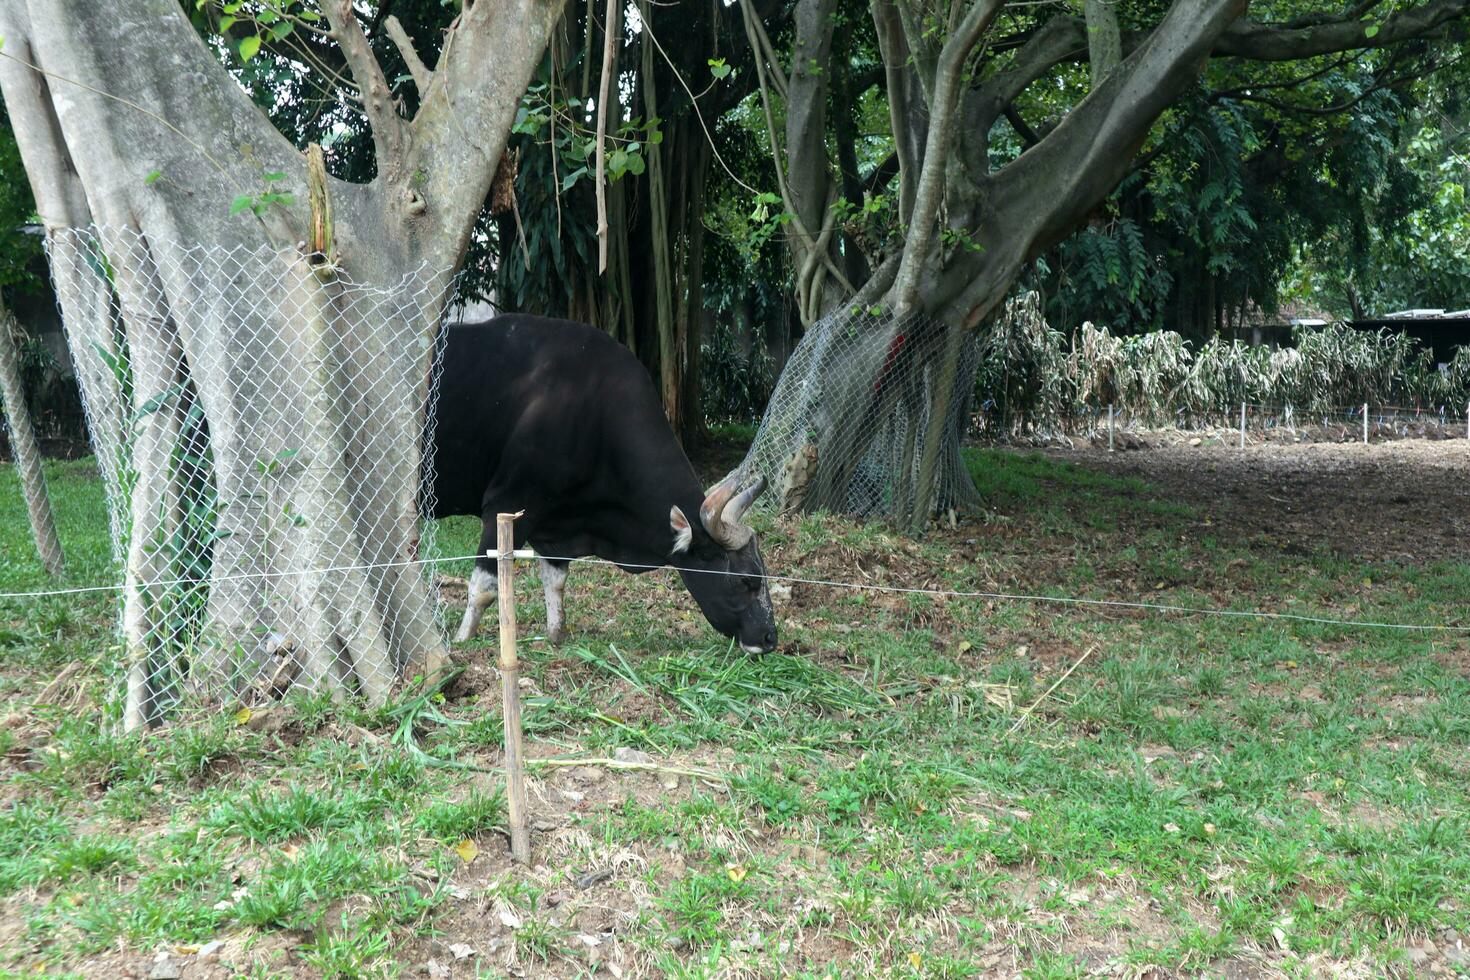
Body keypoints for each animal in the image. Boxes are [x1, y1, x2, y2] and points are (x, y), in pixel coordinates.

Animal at [429, 314, 782, 652]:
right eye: (747, 580)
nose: (769, 639)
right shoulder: (507, 505)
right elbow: (485, 588)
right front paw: (461, 640)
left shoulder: (554, 522)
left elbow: (555, 581)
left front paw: (555, 636)